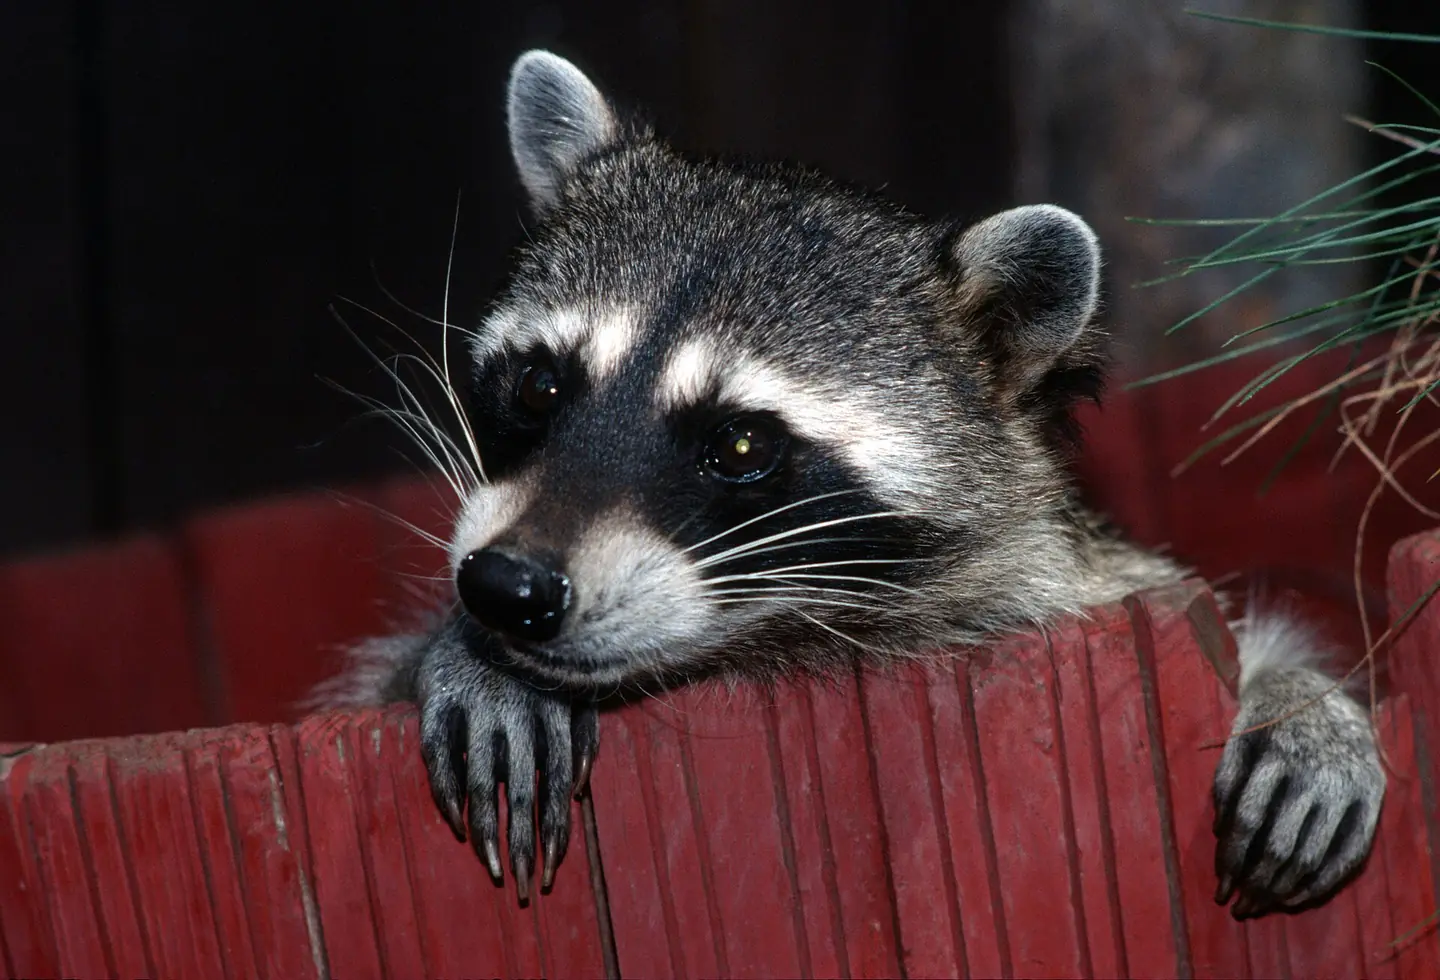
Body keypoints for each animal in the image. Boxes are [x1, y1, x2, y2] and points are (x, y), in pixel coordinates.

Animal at [318, 50, 1385, 919]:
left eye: (741, 444)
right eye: (540, 384)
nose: (509, 588)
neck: (773, 641)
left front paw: (1297, 697)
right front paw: (464, 656)